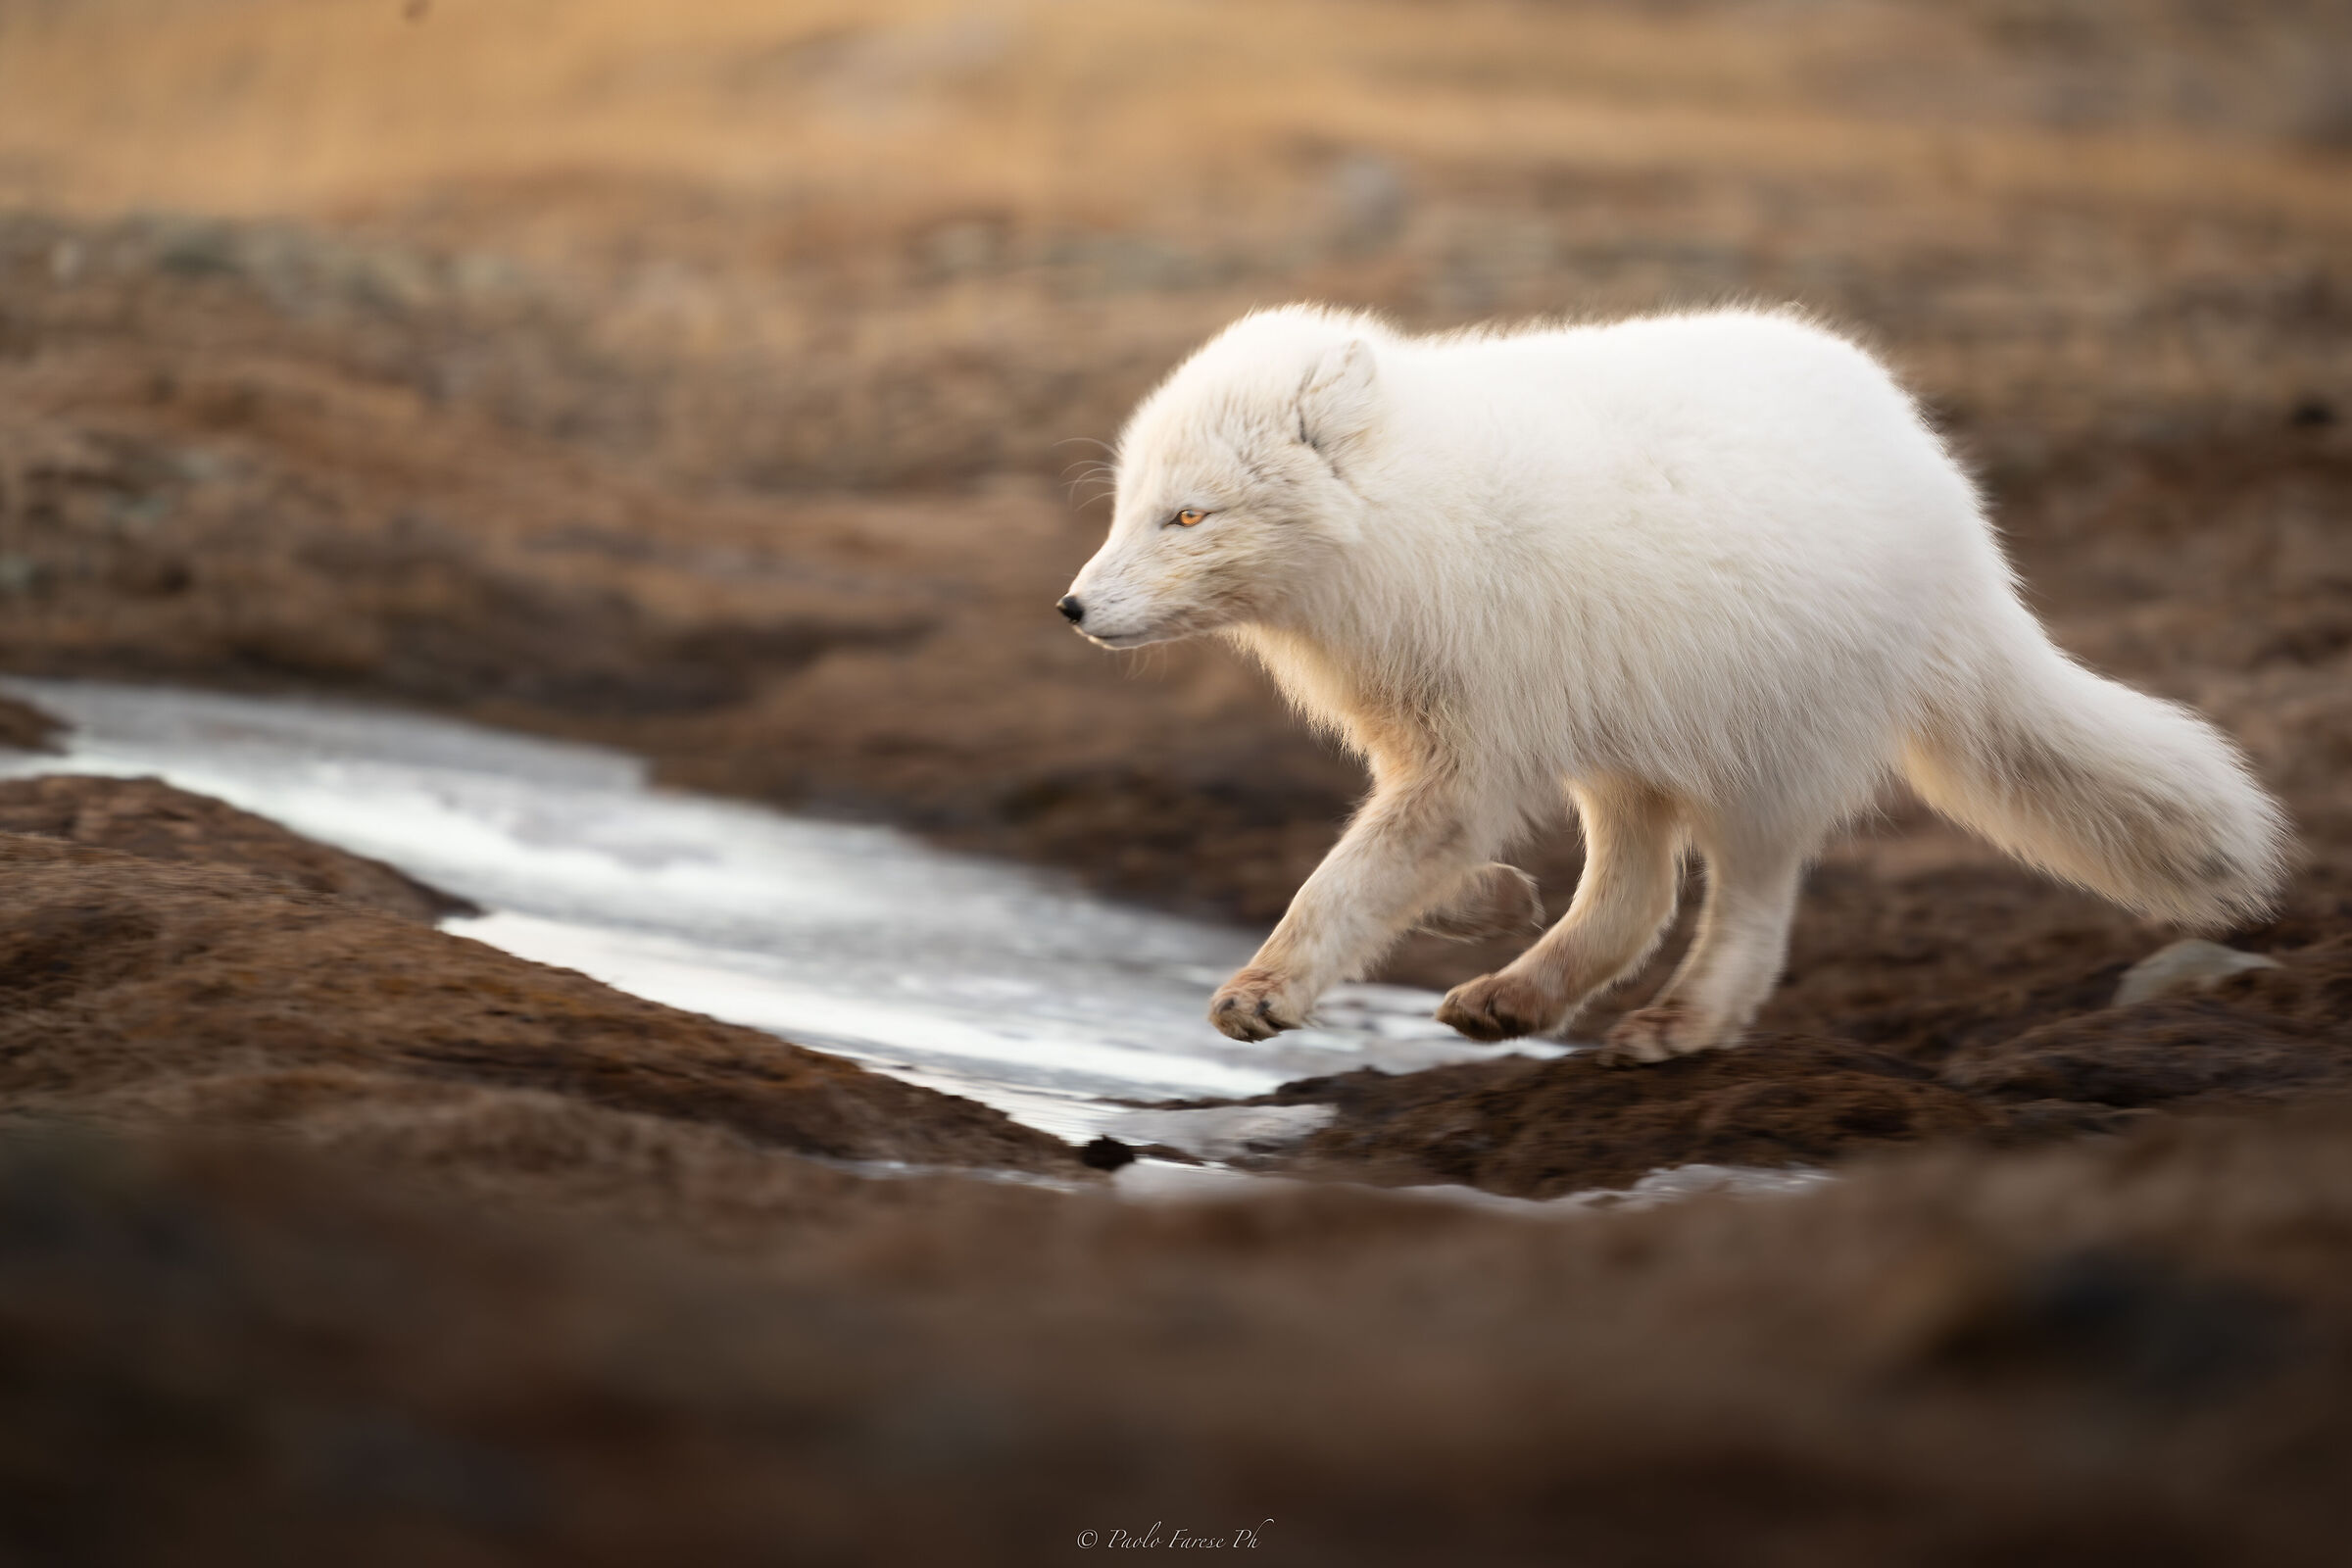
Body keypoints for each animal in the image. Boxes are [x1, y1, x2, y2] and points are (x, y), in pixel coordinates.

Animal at [1059, 305, 2290, 1062]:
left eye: (1189, 516)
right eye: (1128, 508)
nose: (1070, 609)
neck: (1413, 522)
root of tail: (1955, 514)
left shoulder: (1469, 751)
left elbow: (1345, 879)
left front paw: (1268, 987)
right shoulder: (1444, 744)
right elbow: (1392, 864)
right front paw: (1488, 899)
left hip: (1764, 759)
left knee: (1747, 906)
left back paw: (1686, 1022)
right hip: (1628, 747)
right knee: (1640, 892)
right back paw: (1520, 991)